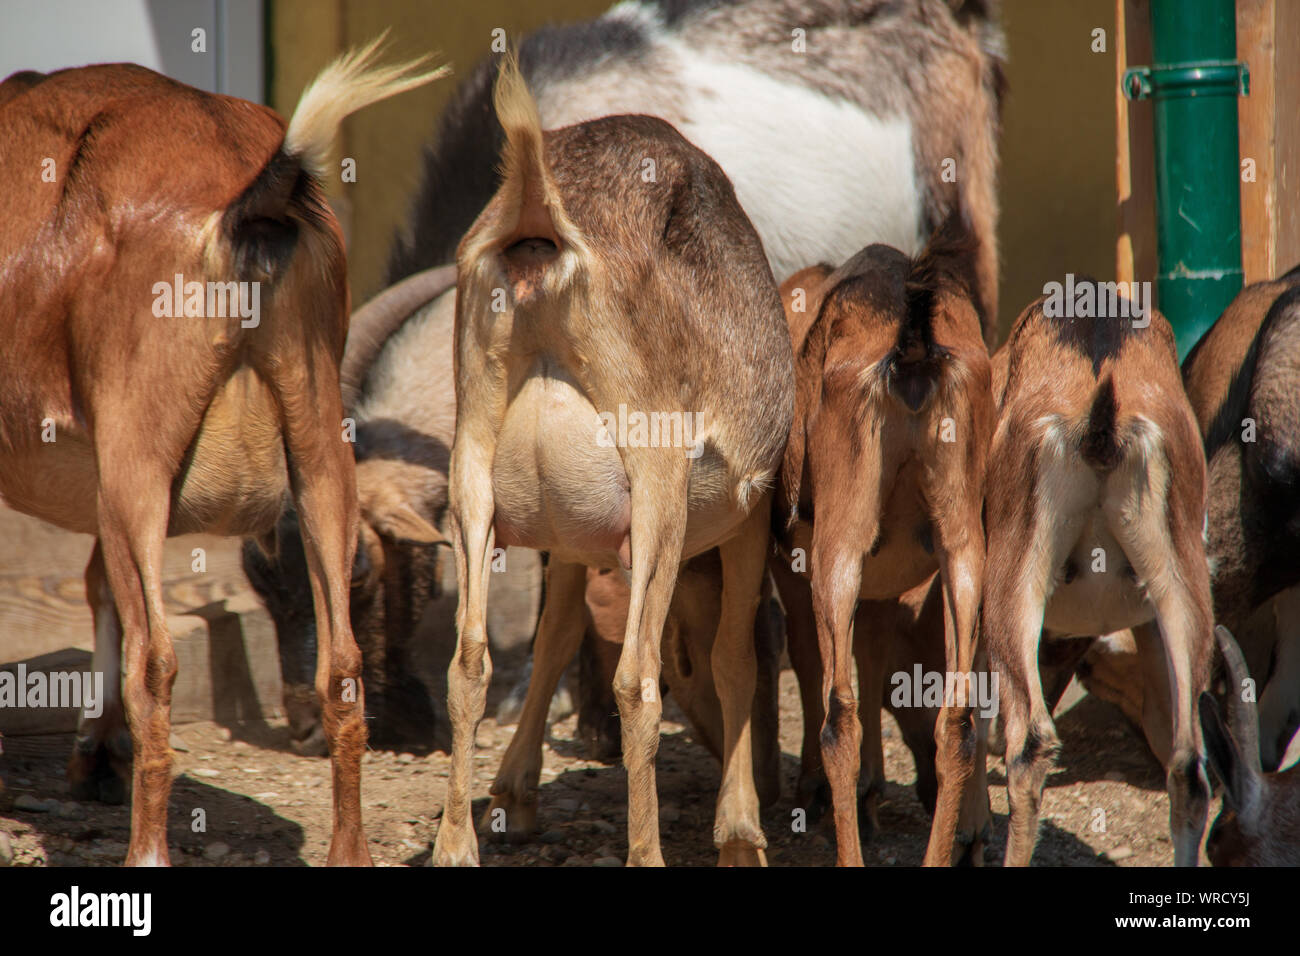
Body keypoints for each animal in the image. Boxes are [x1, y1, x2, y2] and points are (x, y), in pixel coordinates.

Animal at [0, 41, 443, 865]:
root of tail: (258, 198)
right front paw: (93, 757)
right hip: (317, 439)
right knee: (342, 667)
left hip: (138, 453)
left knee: (156, 660)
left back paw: (145, 852)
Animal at [435, 54, 793, 867]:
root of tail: (540, 217)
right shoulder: (748, 519)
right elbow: (734, 655)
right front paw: (741, 830)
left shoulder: (569, 539)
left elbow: (556, 635)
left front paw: (516, 794)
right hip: (657, 484)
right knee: (637, 678)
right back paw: (647, 852)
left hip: (470, 470)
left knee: (468, 660)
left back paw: (455, 845)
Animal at [771, 216, 994, 866]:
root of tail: (910, 340)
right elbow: (872, 652)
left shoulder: (799, 568)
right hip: (962, 549)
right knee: (958, 719)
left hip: (837, 553)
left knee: (838, 717)